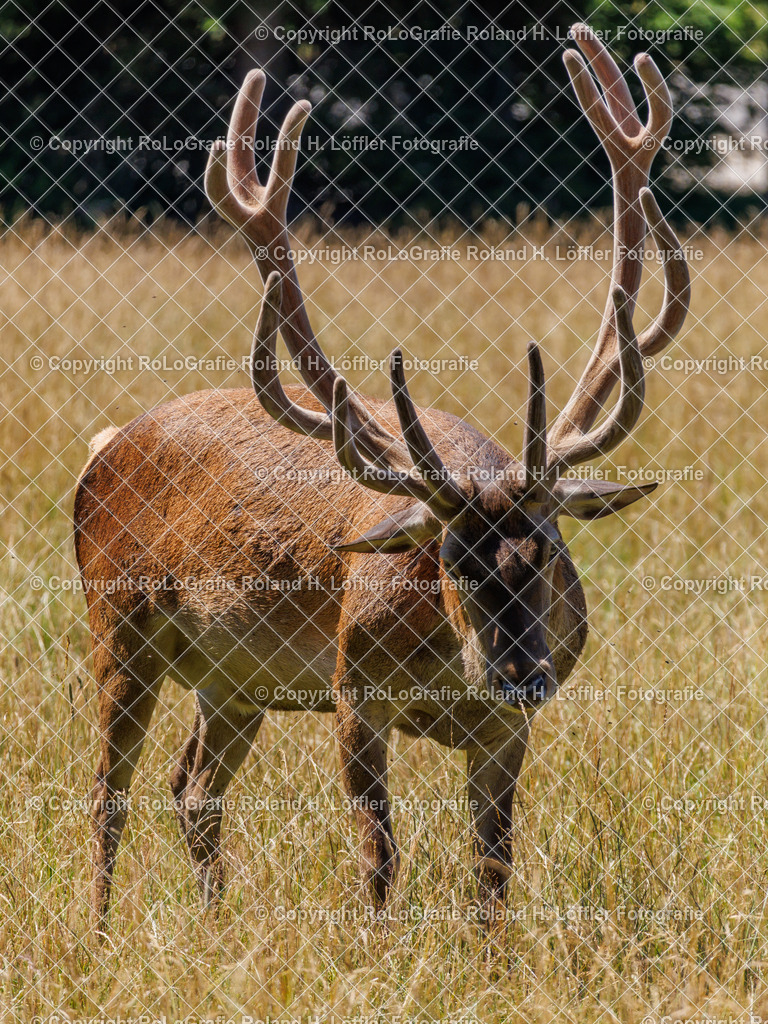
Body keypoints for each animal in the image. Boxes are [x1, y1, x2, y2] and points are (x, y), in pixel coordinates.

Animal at [74, 24, 690, 928]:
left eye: (545, 550)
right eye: (453, 562)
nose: (522, 675)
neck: (451, 666)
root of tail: (107, 445)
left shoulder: (505, 734)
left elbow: (493, 871)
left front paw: (491, 954)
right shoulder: (352, 690)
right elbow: (379, 856)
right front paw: (375, 942)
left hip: (231, 681)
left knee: (191, 789)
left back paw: (215, 919)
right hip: (119, 625)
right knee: (107, 793)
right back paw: (101, 931)